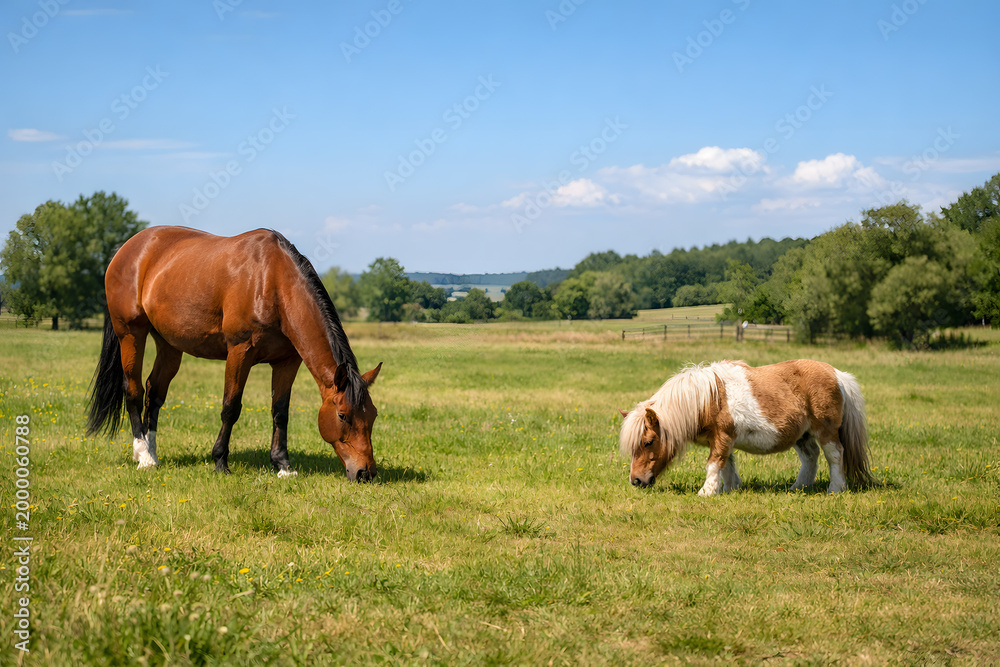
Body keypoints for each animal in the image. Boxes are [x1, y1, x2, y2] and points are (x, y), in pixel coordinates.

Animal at [86, 226, 382, 481]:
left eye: (373, 415)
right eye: (342, 415)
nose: (365, 472)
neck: (272, 281)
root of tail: (127, 248)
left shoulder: (287, 361)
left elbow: (280, 412)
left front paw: (283, 465)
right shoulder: (240, 353)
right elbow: (231, 408)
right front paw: (220, 461)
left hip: (169, 345)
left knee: (154, 392)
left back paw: (153, 452)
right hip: (130, 335)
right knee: (133, 390)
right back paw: (143, 455)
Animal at [618, 359, 873, 495]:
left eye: (648, 442)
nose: (636, 481)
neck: (708, 399)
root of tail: (837, 374)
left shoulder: (721, 437)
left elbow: (714, 463)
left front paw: (707, 492)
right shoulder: (724, 440)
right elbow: (727, 465)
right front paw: (729, 489)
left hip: (826, 431)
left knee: (834, 455)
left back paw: (836, 488)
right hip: (803, 435)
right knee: (810, 457)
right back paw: (798, 487)